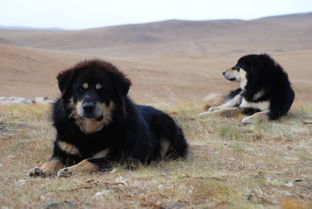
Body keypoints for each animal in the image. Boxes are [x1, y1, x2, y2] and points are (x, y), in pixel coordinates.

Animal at [27, 59, 188, 177]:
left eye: (102, 90)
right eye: (80, 89)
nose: (88, 107)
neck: (88, 132)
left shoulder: (118, 157)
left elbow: (89, 160)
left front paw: (71, 169)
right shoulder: (63, 151)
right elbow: (53, 160)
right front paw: (41, 168)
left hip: (165, 124)